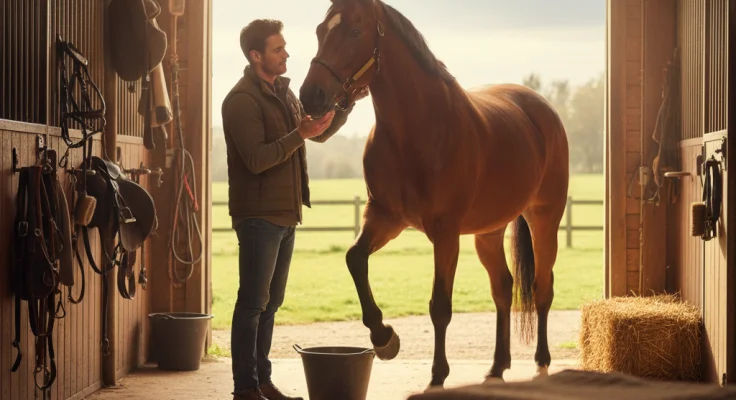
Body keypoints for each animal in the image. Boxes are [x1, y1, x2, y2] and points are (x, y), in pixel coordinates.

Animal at [299, 0, 570, 389]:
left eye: (354, 31)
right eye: (321, 30)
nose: (311, 96)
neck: (419, 129)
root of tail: (541, 109)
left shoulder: (445, 233)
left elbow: (440, 305)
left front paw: (438, 374)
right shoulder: (384, 218)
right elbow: (354, 259)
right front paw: (383, 337)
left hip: (544, 219)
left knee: (543, 287)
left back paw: (542, 361)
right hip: (488, 233)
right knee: (503, 289)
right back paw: (497, 366)